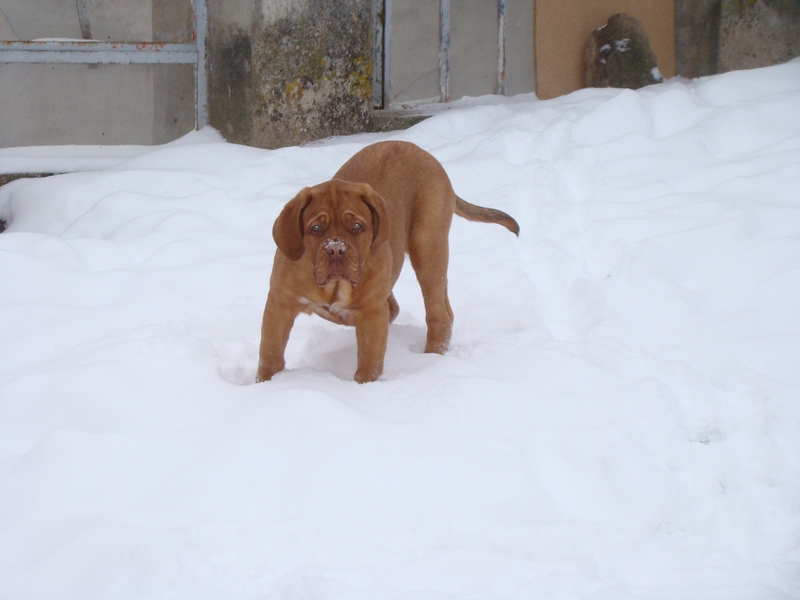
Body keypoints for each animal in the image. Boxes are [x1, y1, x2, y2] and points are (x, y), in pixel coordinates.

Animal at [256, 142, 520, 380]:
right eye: (316, 228)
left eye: (357, 226)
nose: (336, 249)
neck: (333, 287)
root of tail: (419, 150)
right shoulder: (279, 304)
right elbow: (270, 355)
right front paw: (265, 384)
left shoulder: (371, 313)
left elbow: (369, 364)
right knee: (417, 307)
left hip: (428, 248)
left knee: (438, 314)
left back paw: (432, 359)